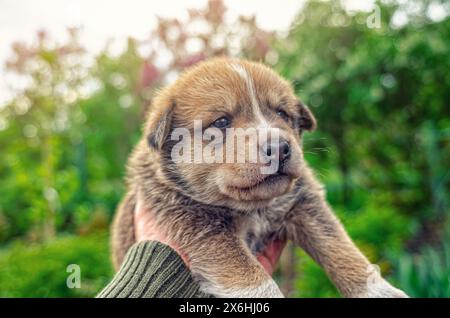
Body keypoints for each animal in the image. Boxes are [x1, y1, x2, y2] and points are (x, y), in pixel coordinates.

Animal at [110, 57, 406, 298]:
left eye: (282, 113)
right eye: (221, 122)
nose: (279, 147)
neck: (255, 208)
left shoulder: (306, 202)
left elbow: (339, 246)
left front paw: (379, 291)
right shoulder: (198, 223)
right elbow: (252, 277)